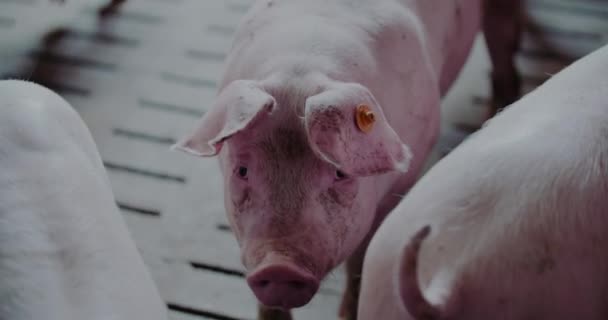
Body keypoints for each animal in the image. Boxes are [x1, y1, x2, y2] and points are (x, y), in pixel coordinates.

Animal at [175, 0, 524, 318]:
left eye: (340, 173)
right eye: (242, 170)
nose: (279, 267)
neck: (301, 70)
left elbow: (361, 260)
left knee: (502, 41)